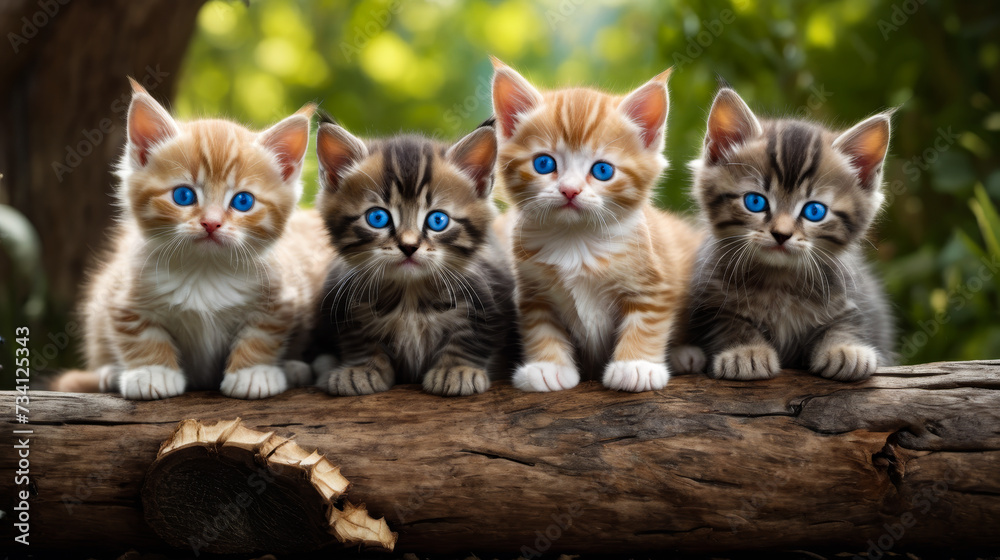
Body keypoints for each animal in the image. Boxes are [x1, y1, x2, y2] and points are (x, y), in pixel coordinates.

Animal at [75, 81, 332, 400]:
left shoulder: (282, 298)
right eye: (183, 195)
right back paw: (109, 372)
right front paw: (152, 372)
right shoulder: (121, 294)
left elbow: (262, 332)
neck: (204, 270)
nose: (211, 223)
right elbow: (138, 332)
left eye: (243, 201)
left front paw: (253, 372)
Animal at [492, 59, 704, 392]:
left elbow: (647, 322)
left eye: (603, 170)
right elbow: (540, 326)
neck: (576, 240)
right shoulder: (532, 291)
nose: (570, 190)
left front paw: (636, 366)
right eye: (544, 164)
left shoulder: (654, 283)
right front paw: (547, 366)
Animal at [680, 87, 900, 382]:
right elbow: (729, 322)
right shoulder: (710, 299)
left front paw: (845, 349)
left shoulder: (853, 296)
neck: (779, 283)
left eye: (815, 211)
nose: (781, 234)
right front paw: (746, 352)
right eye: (755, 202)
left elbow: (844, 323)